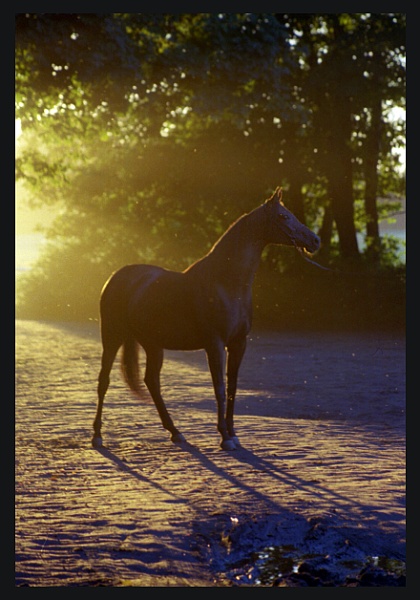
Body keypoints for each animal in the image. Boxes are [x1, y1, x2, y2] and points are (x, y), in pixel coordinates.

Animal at [92, 188, 322, 450]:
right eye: (283, 216)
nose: (315, 240)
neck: (226, 283)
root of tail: (117, 276)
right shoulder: (215, 344)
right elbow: (219, 388)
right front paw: (224, 436)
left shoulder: (238, 343)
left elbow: (232, 387)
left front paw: (233, 433)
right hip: (112, 337)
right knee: (104, 380)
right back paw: (97, 435)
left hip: (153, 345)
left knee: (152, 382)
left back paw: (175, 432)